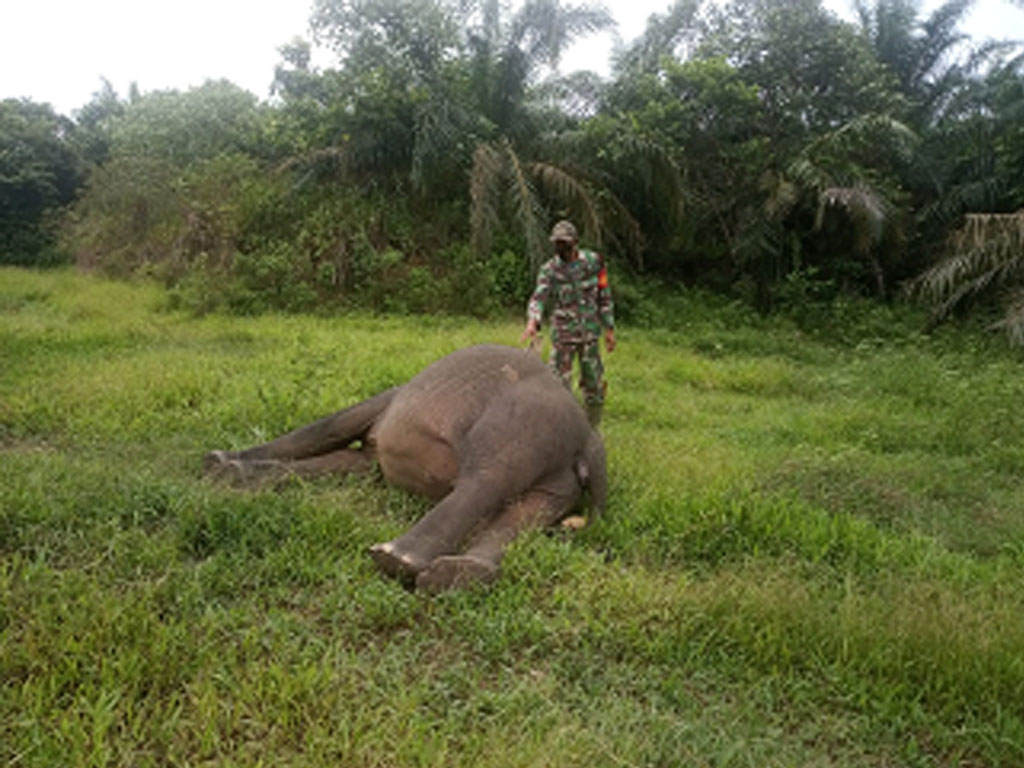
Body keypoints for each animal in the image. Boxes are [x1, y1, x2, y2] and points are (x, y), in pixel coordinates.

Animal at [204, 346, 606, 593]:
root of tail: (589, 437)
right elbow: (352, 463)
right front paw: (226, 470)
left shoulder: (387, 400)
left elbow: (332, 427)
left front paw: (216, 464)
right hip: (559, 477)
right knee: (525, 513)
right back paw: (458, 576)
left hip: (525, 424)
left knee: (487, 479)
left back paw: (395, 558)